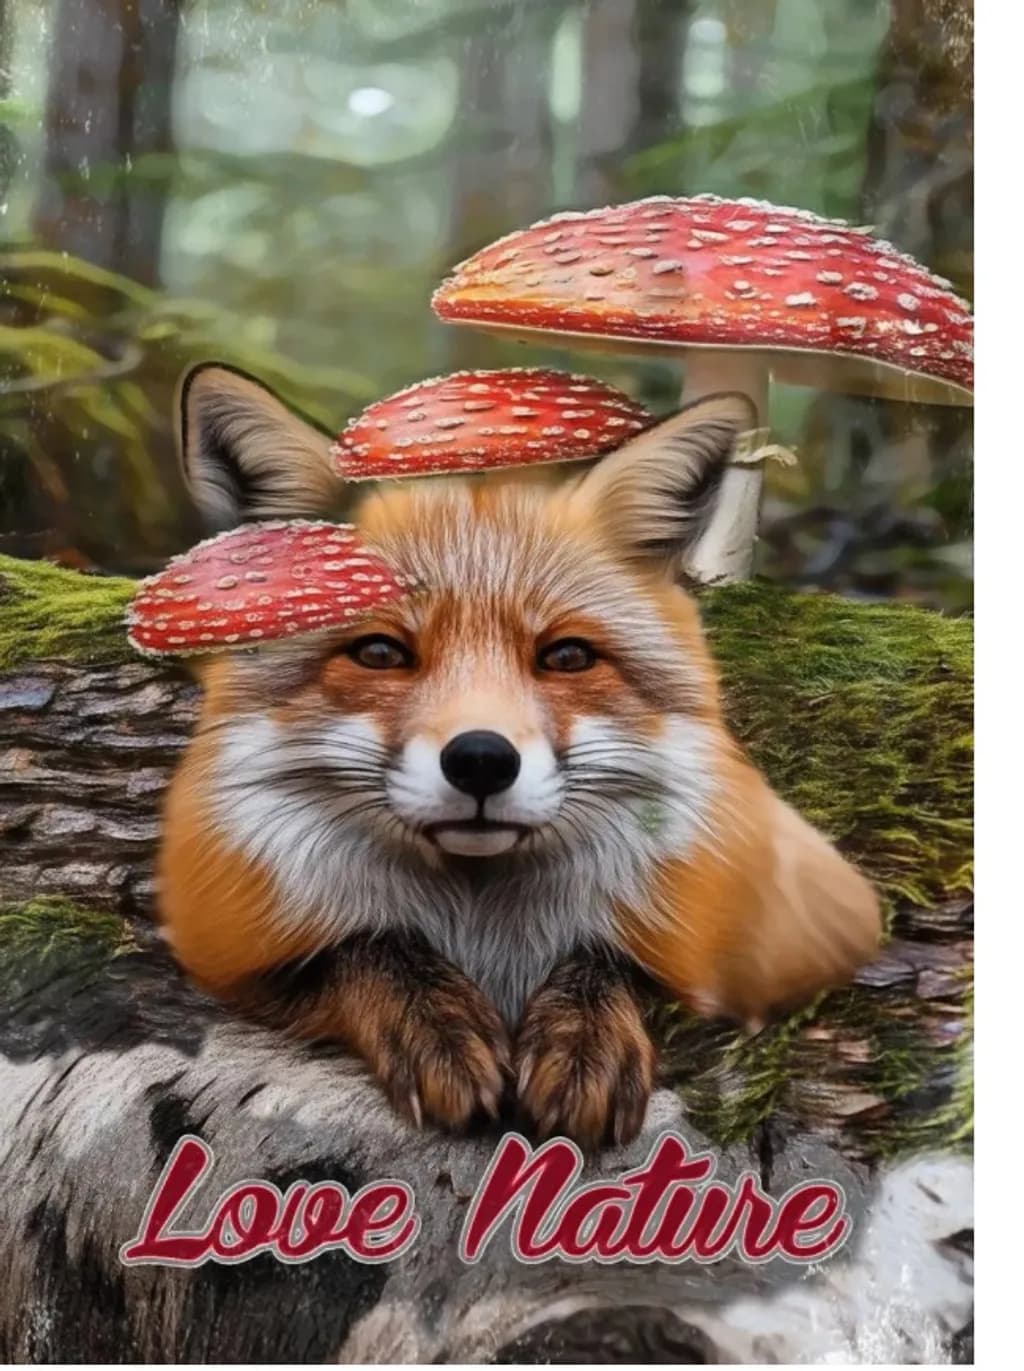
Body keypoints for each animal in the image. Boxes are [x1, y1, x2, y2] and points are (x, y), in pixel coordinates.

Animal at [158, 363, 881, 1151]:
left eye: (566, 656)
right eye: (380, 652)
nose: (481, 760)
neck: (483, 925)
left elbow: (615, 960)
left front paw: (585, 1036)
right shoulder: (223, 953)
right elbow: (364, 944)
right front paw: (437, 1022)